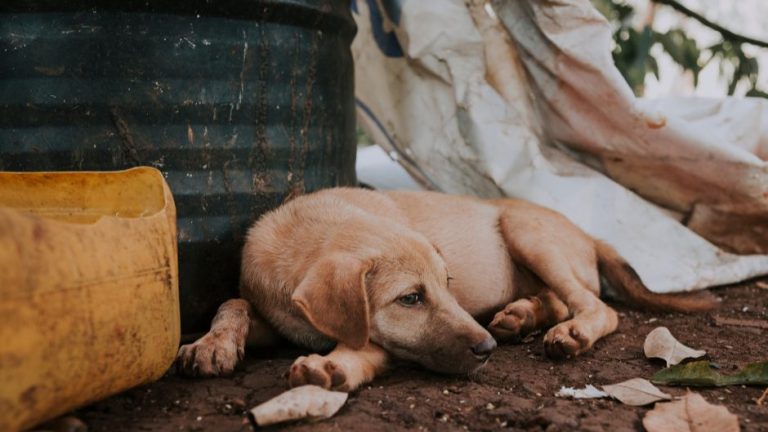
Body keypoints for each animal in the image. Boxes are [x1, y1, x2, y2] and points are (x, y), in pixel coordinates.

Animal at [174, 187, 712, 390]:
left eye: (447, 284)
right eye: (411, 298)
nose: (487, 349)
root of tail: (587, 233)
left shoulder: (381, 341)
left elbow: (362, 345)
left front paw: (331, 365)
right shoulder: (274, 313)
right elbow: (233, 301)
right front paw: (212, 344)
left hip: (526, 230)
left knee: (597, 306)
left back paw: (567, 332)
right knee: (562, 300)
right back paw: (522, 315)